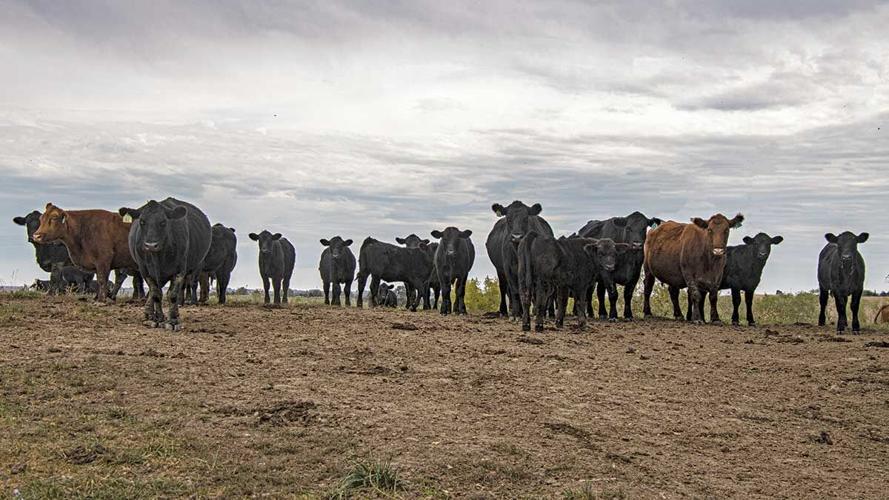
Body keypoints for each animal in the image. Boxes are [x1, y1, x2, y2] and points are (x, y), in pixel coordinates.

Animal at [119, 198, 212, 330]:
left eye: (163, 222)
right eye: (142, 222)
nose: (151, 245)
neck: (159, 257)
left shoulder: (179, 271)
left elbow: (172, 295)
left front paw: (172, 321)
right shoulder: (145, 271)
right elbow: (156, 294)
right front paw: (157, 319)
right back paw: (149, 315)